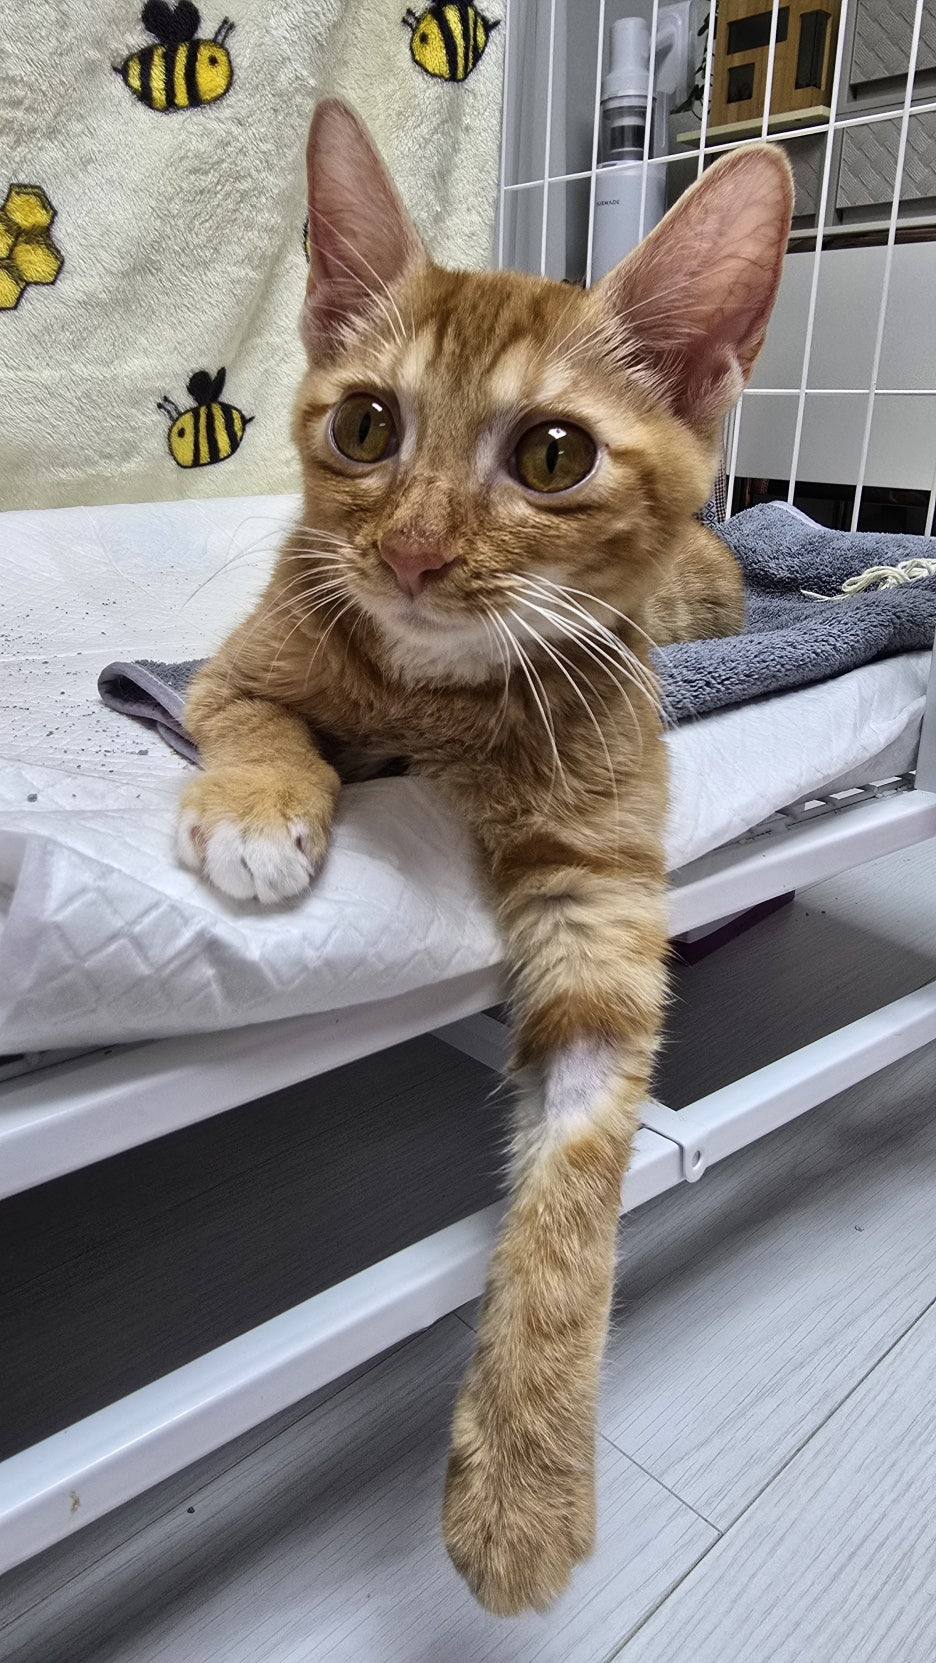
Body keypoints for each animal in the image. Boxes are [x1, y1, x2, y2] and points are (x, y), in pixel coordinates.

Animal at [176, 98, 792, 1615]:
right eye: (365, 424)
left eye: (554, 455)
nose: (407, 548)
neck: (435, 703)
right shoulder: (237, 664)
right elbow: (261, 715)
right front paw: (262, 806)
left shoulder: (602, 891)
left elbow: (576, 1196)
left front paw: (526, 1478)